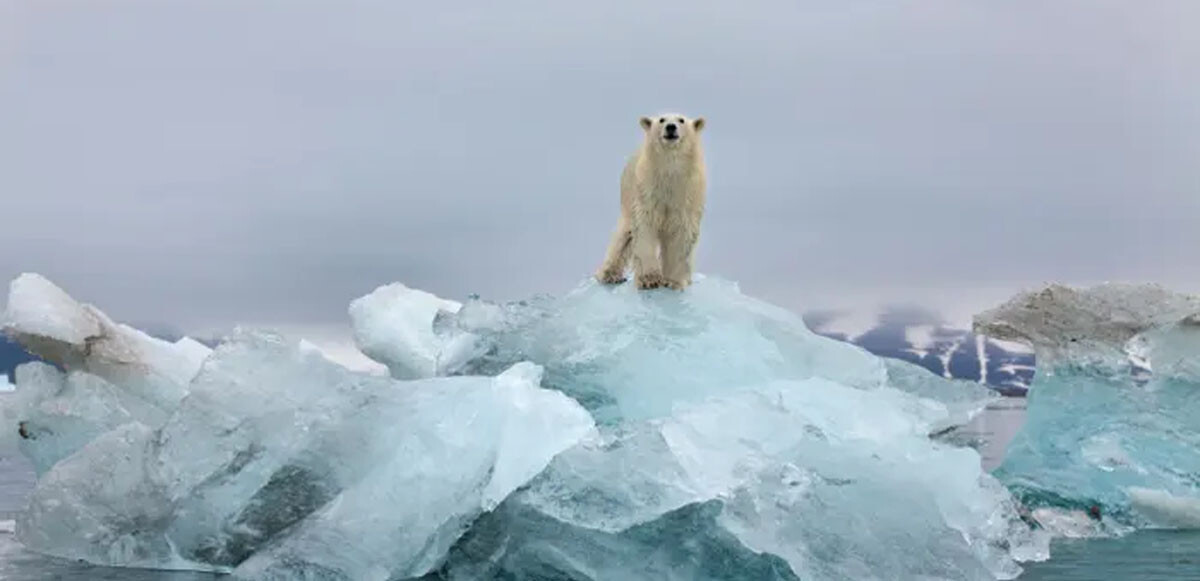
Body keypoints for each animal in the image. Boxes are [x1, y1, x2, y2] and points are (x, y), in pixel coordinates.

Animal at [597, 111, 705, 290]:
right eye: (661, 120)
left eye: (681, 120)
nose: (670, 127)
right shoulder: (648, 191)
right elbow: (644, 228)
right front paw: (650, 279)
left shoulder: (686, 195)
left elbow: (682, 234)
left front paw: (673, 281)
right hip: (628, 196)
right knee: (623, 236)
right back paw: (609, 275)